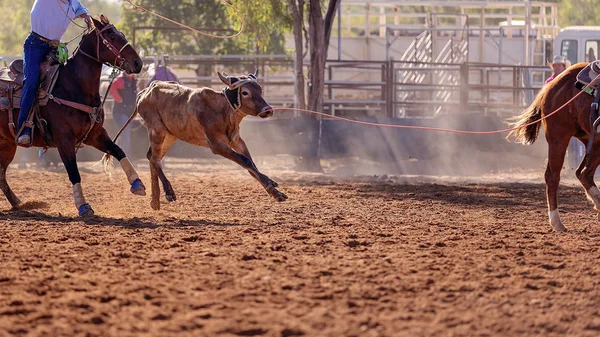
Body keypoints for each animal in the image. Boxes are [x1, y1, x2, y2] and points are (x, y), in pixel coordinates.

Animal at [0, 15, 145, 215]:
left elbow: (118, 150)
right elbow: (73, 172)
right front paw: (83, 205)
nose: (138, 63)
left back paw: (18, 202)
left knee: (1, 174)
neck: (73, 85)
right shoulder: (65, 140)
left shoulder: (95, 135)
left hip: (7, 144)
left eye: (121, 34)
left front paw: (137, 183)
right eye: (111, 36)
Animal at [105, 69, 288, 209]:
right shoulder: (217, 145)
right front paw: (271, 184)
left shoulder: (236, 141)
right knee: (155, 159)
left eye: (260, 90)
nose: (268, 110)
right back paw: (168, 193)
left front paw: (275, 192)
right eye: (245, 92)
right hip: (156, 130)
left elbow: (251, 165)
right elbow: (246, 161)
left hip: (170, 135)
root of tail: (145, 92)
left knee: (152, 158)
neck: (222, 110)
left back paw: (155, 200)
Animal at [508, 61, 596, 231]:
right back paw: (557, 222)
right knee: (553, 176)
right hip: (558, 139)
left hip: (590, 139)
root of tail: (552, 84)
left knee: (583, 173)